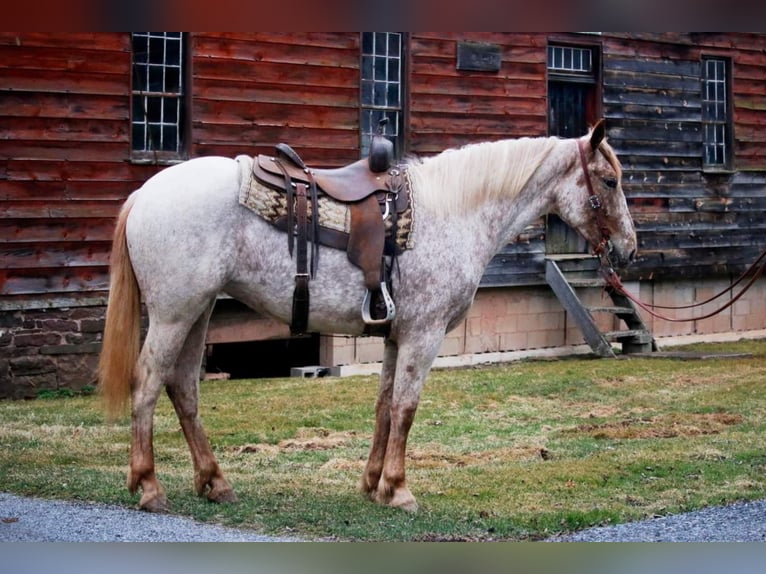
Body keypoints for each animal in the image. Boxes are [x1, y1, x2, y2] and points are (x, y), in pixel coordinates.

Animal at [97, 119, 636, 516]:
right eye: (609, 181)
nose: (629, 250)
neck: (452, 213)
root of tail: (144, 194)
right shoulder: (423, 334)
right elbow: (406, 408)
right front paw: (399, 490)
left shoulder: (395, 335)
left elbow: (383, 407)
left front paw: (373, 485)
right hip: (173, 313)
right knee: (148, 384)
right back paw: (149, 486)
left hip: (199, 311)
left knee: (184, 389)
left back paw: (215, 482)